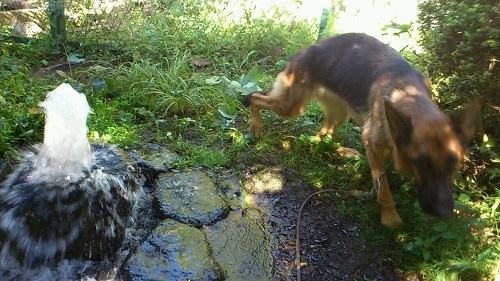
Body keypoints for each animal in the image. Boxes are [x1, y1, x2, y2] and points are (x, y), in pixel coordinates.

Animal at [244, 32, 478, 228]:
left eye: (453, 163)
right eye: (421, 163)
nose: (444, 213)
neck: (407, 93)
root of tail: (307, 48)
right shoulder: (372, 143)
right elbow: (383, 189)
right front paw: (390, 218)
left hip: (338, 113)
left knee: (322, 136)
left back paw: (343, 152)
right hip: (291, 107)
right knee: (254, 98)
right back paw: (256, 126)